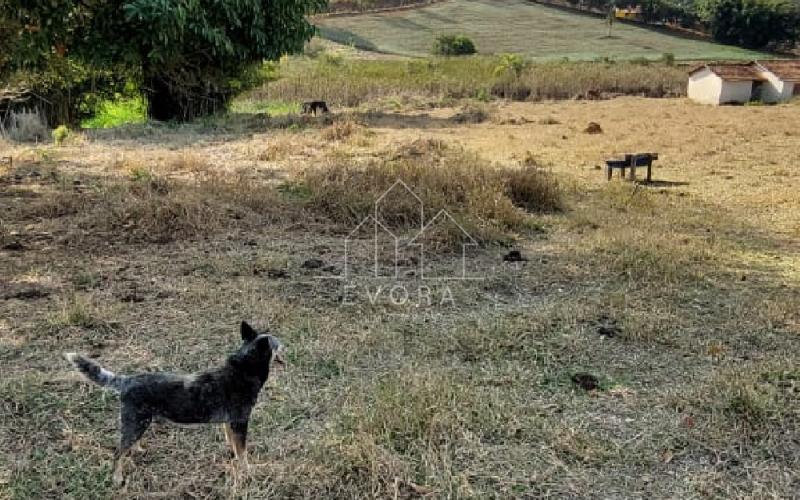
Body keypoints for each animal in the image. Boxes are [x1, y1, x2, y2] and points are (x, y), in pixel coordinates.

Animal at [65, 322, 284, 486]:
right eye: (278, 345)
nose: (287, 346)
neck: (243, 369)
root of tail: (127, 380)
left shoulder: (230, 423)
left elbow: (233, 444)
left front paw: (232, 456)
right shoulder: (240, 421)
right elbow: (243, 453)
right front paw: (248, 472)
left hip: (139, 422)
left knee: (128, 446)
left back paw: (138, 451)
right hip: (136, 423)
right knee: (118, 453)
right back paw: (117, 478)